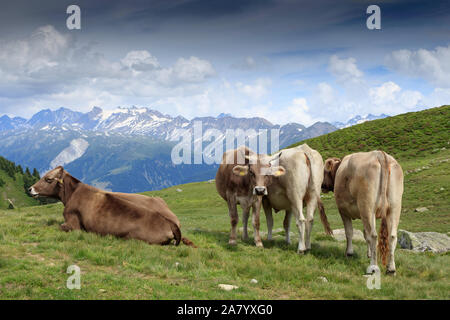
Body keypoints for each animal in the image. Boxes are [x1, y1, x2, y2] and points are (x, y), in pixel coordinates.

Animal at [28, 166, 195, 246]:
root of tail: (170, 222)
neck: (71, 194)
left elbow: (59, 226)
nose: (30, 189)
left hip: (134, 238)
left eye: (48, 179)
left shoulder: (72, 223)